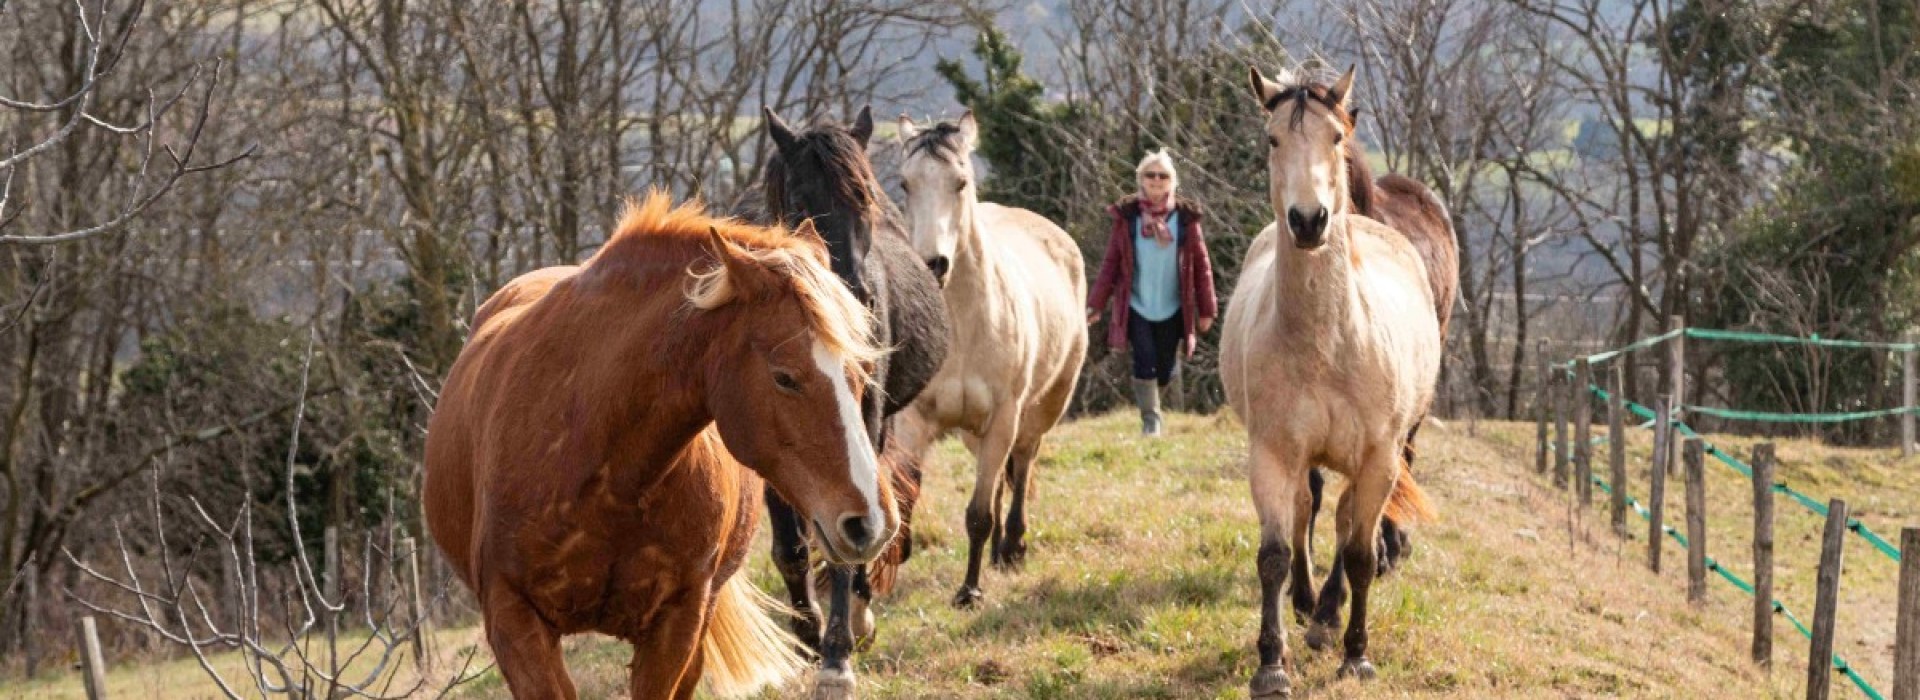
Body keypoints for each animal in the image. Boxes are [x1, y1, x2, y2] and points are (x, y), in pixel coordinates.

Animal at [762, 105, 950, 698]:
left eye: (864, 198)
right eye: (801, 201)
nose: (856, 300)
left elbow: (851, 533)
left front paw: (836, 655)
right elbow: (792, 546)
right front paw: (806, 634)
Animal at [895, 112, 1089, 608]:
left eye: (960, 182)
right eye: (905, 184)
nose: (933, 264)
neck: (962, 326)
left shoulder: (1004, 414)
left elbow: (978, 514)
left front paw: (969, 591)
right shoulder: (915, 420)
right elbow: (904, 494)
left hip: (1040, 409)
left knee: (1022, 462)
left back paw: (1013, 546)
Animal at [1223, 67, 1443, 696]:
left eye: (1336, 138)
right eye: (1273, 140)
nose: (1308, 220)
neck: (1329, 340)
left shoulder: (1378, 459)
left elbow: (1361, 553)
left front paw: (1355, 655)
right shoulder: (1272, 453)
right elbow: (1274, 553)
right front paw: (1271, 664)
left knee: (1346, 525)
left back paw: (1326, 615)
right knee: (1307, 509)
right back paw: (1306, 604)